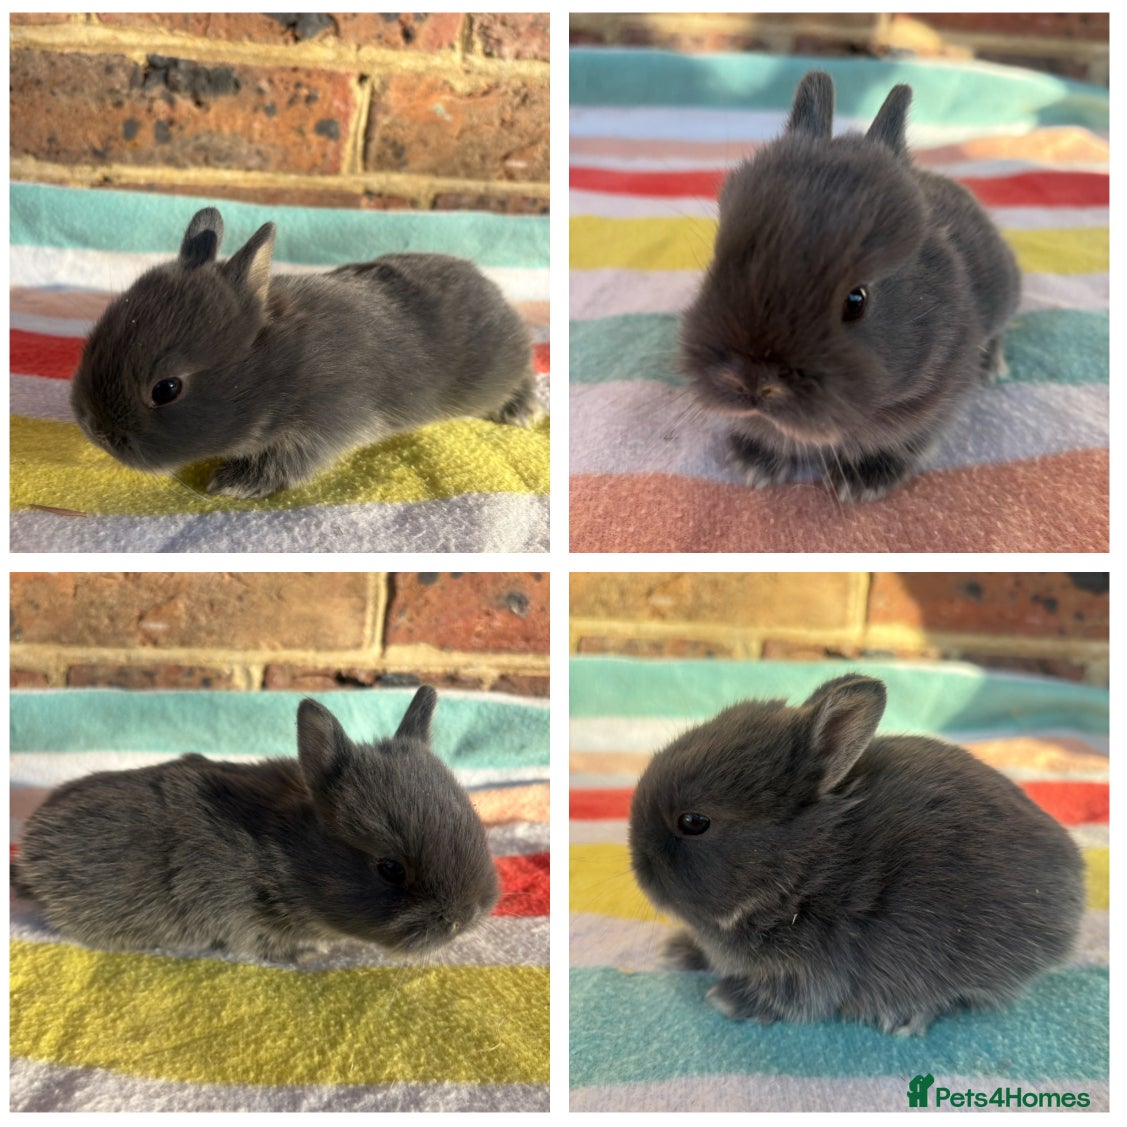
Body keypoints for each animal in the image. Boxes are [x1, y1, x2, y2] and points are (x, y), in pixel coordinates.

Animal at [69, 207, 536, 499]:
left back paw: (522, 410)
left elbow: (286, 462)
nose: (94, 428)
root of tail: (493, 292)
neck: (278, 365)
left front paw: (233, 483)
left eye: (166, 389)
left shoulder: (326, 421)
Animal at [628, 675, 1084, 1035]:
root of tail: (1073, 884)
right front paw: (679, 951)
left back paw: (906, 1018)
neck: (804, 869)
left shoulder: (813, 970)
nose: (637, 865)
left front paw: (727, 999)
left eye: (694, 822)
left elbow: (794, 1000)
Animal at [679, 70, 1021, 502]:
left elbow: (908, 442)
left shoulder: (936, 402)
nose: (752, 383)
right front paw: (755, 463)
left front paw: (858, 483)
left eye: (856, 300)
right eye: (719, 261)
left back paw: (991, 367)